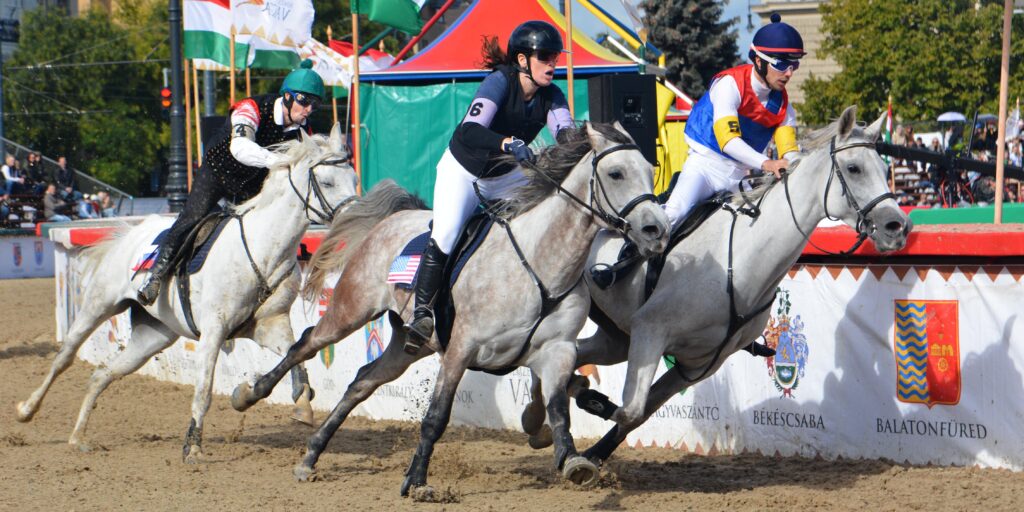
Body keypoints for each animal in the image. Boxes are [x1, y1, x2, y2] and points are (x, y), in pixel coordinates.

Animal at [14, 124, 360, 464]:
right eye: (327, 181)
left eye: (354, 178)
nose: (356, 217)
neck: (262, 251)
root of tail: (130, 233)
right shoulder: (214, 331)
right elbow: (203, 390)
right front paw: (192, 446)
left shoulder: (270, 326)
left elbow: (296, 357)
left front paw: (284, 402)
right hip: (98, 305)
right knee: (64, 357)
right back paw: (26, 410)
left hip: (152, 337)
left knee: (102, 374)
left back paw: (78, 437)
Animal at [227, 121, 667, 493]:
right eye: (616, 173)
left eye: (649, 169)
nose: (657, 230)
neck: (541, 263)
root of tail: (392, 220)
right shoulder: (461, 348)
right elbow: (436, 416)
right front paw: (417, 481)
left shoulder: (557, 350)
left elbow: (559, 409)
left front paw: (572, 460)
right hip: (350, 310)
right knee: (304, 344)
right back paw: (251, 395)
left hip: (408, 344)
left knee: (361, 382)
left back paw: (312, 454)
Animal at [524, 103, 917, 464]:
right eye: (854, 168)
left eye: (884, 168)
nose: (897, 227)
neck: (740, 264)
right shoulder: (650, 331)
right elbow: (629, 408)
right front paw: (586, 404)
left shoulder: (696, 365)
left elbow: (636, 414)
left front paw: (590, 453)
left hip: (616, 337)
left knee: (570, 355)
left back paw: (537, 415)